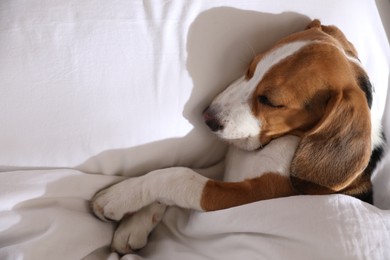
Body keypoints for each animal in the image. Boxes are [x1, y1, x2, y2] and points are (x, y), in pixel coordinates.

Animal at [90, 20, 384, 254]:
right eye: (250, 69)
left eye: (270, 101)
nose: (207, 116)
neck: (275, 144)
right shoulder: (225, 171)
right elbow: (174, 177)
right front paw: (135, 223)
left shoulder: (250, 194)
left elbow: (179, 175)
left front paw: (119, 197)